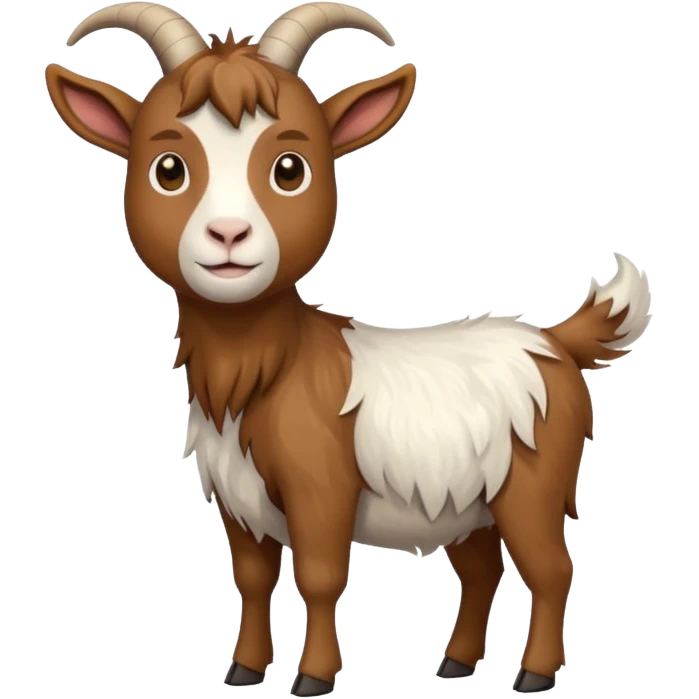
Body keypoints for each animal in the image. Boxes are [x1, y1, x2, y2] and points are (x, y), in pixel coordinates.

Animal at [44, 1, 654, 695]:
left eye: (290, 169)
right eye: (167, 169)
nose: (228, 234)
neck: (268, 370)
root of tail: (550, 339)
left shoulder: (322, 488)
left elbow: (319, 577)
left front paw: (312, 677)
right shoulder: (236, 499)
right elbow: (252, 579)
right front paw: (243, 669)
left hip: (531, 482)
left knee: (552, 569)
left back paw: (535, 674)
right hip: (461, 502)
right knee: (482, 570)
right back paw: (455, 663)